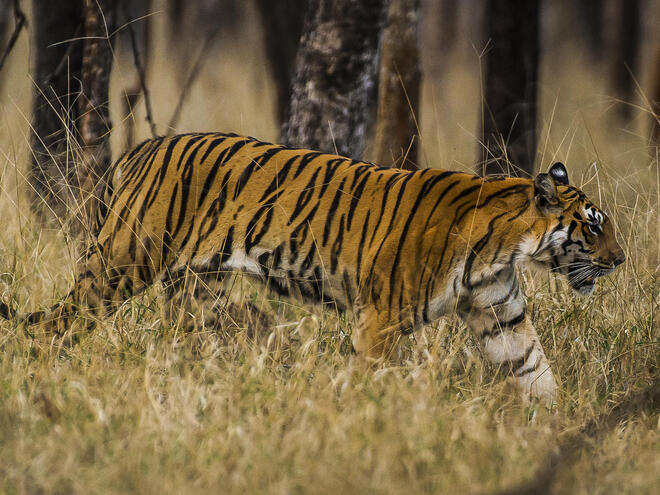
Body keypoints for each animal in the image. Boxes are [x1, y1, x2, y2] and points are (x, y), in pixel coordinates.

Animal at [1, 132, 624, 404]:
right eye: (593, 227)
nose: (622, 259)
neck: (505, 246)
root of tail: (144, 146)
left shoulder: (501, 314)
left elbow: (533, 369)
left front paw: (559, 426)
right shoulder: (383, 317)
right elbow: (371, 377)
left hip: (196, 292)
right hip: (123, 262)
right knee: (57, 323)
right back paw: (40, 372)